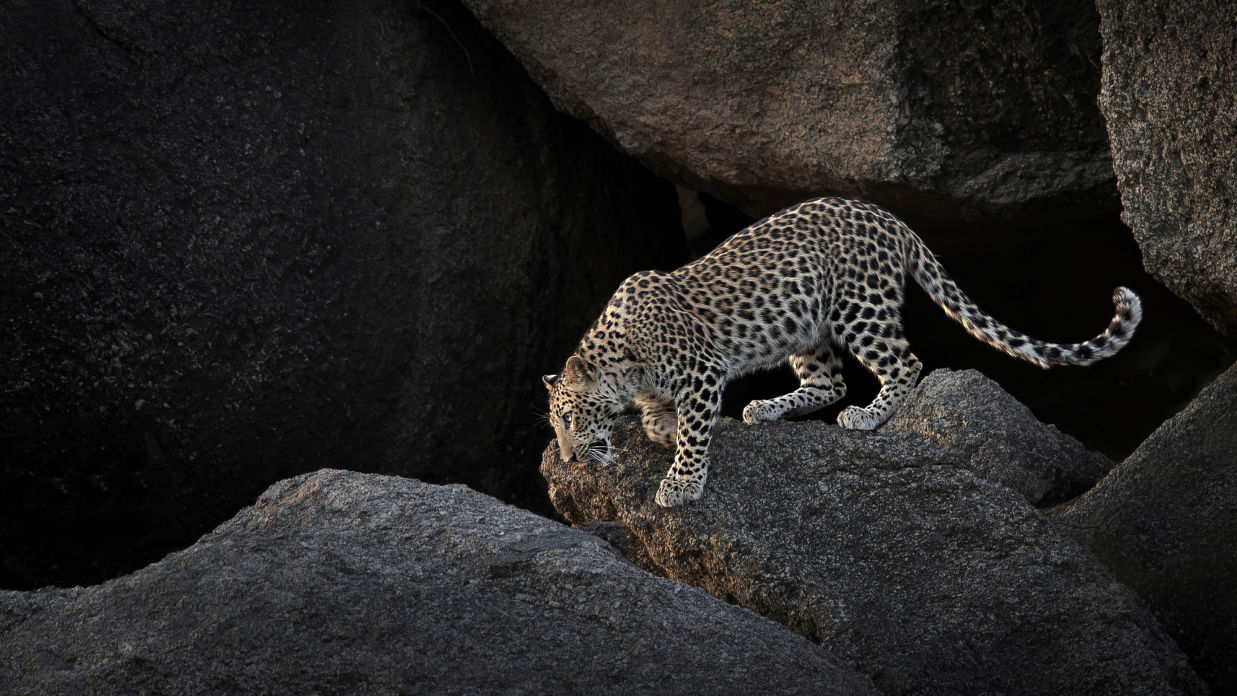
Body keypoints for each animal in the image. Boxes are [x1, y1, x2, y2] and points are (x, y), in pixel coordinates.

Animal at [541, 196, 1138, 506]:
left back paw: (868, 417)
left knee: (903, 363)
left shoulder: (702, 370)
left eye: (570, 420)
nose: (567, 459)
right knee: (829, 382)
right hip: (808, 329)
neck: (624, 363)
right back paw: (766, 408)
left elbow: (692, 432)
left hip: (859, 307)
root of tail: (888, 214)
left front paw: (682, 481)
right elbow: (657, 421)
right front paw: (662, 434)